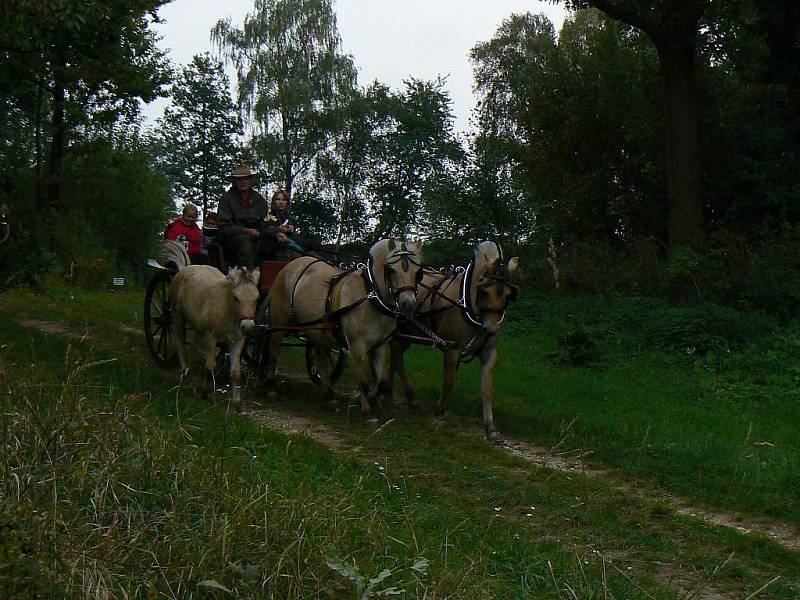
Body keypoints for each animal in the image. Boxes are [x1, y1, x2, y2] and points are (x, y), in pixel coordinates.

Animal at [170, 264, 260, 410]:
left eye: (257, 299)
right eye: (236, 298)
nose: (247, 326)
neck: (227, 309)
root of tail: (185, 269)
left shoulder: (237, 340)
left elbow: (236, 372)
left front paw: (237, 403)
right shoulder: (210, 337)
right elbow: (211, 365)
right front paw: (207, 394)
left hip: (197, 329)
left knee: (193, 349)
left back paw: (191, 375)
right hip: (177, 316)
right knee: (180, 342)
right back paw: (186, 375)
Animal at [264, 237, 424, 424]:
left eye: (418, 272)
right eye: (391, 270)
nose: (408, 304)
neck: (371, 297)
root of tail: (294, 263)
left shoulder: (381, 345)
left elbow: (381, 382)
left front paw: (370, 399)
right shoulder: (356, 345)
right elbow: (362, 380)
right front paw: (367, 411)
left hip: (318, 330)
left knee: (320, 358)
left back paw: (329, 396)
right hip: (278, 323)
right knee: (274, 350)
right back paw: (270, 386)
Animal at [386, 241, 520, 442]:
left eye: (508, 294)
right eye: (484, 290)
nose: (490, 330)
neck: (469, 306)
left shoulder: (489, 354)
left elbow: (487, 389)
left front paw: (490, 428)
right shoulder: (452, 350)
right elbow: (448, 384)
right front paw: (438, 414)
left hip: (406, 334)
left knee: (395, 354)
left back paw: (387, 389)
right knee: (395, 356)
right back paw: (407, 397)